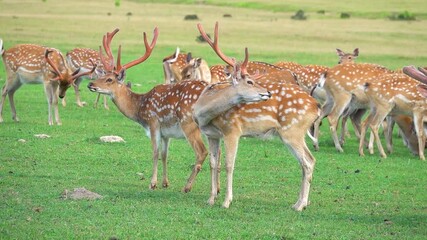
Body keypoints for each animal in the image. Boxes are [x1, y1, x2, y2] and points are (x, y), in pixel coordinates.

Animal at [195, 22, 320, 210]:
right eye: (250, 81)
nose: (267, 93)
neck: (203, 113)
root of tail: (317, 106)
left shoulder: (232, 130)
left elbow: (229, 165)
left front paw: (226, 201)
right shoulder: (212, 135)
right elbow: (213, 164)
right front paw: (211, 199)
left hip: (292, 131)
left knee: (307, 162)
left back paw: (300, 205)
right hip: (295, 133)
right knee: (308, 160)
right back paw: (298, 203)